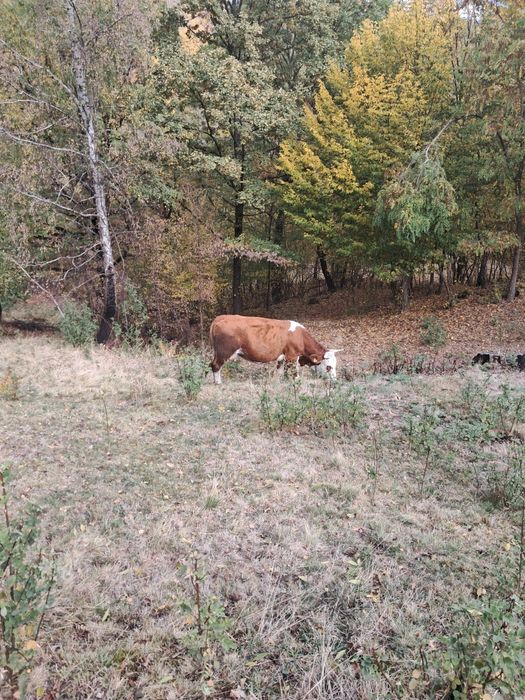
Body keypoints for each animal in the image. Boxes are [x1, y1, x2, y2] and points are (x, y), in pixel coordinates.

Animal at [209, 314, 342, 384]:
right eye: (328, 367)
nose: (335, 381)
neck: (301, 337)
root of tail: (222, 317)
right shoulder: (292, 355)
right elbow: (294, 372)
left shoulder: (282, 357)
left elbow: (280, 371)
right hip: (224, 352)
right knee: (215, 365)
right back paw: (218, 383)